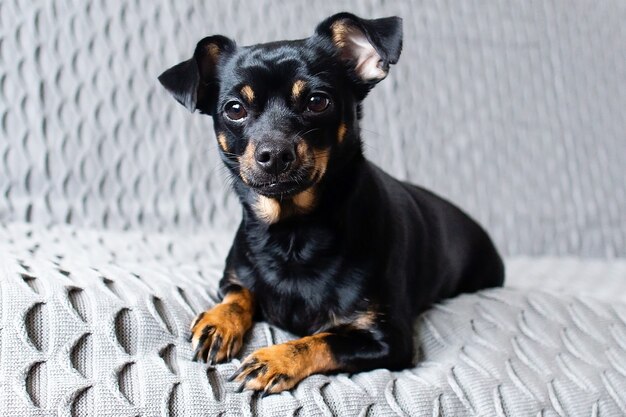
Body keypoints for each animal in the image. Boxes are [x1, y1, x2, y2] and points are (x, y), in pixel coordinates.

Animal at [160, 13, 502, 394]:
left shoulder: (389, 340)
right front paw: (219, 322)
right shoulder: (233, 278)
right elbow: (238, 295)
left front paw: (274, 359)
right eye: (234, 109)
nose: (274, 153)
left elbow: (323, 339)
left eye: (317, 102)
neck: (292, 233)